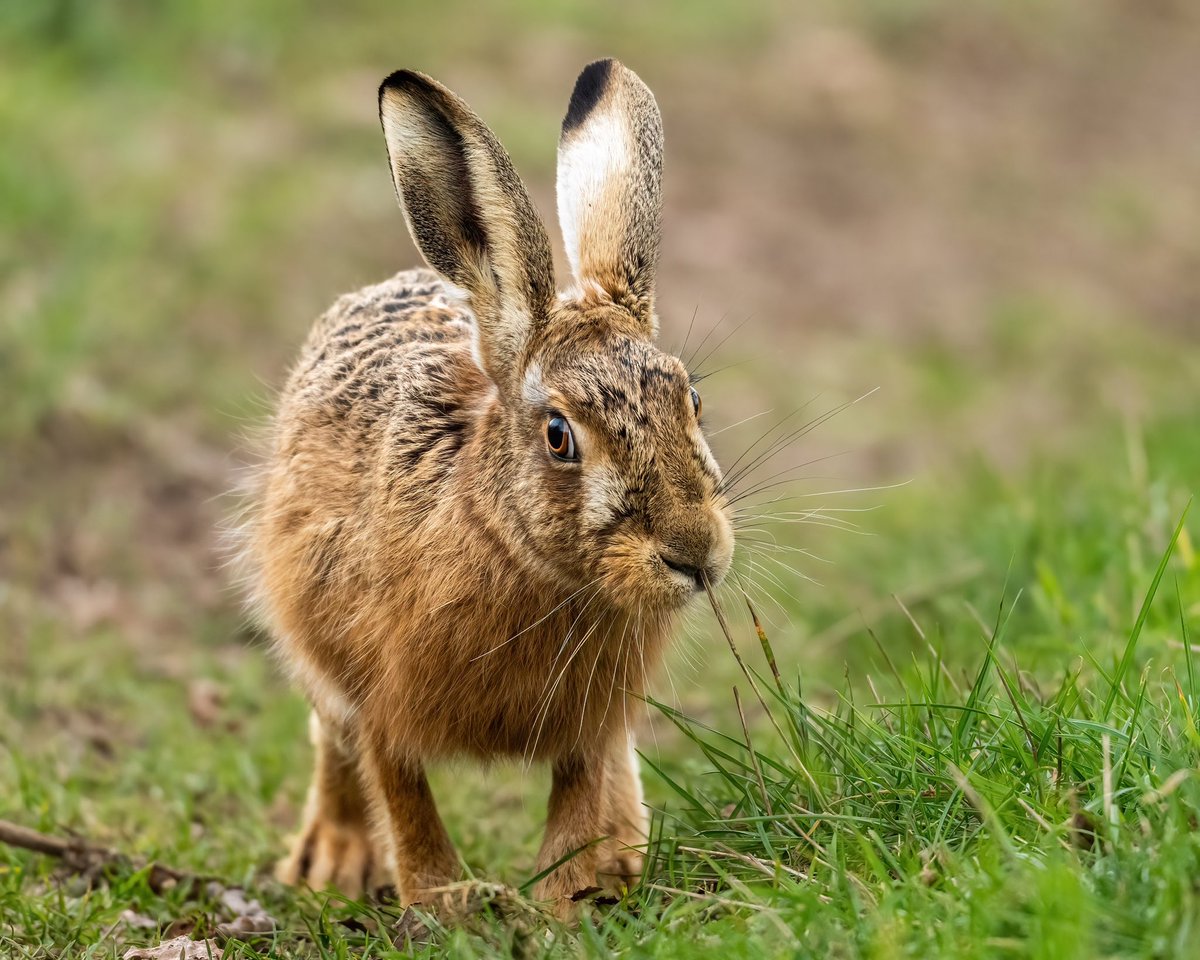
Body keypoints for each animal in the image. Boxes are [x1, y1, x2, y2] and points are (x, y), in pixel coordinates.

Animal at [241, 58, 734, 913]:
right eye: (559, 435)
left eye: (691, 401)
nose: (696, 553)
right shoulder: (379, 693)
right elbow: (402, 794)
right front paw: (445, 902)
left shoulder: (594, 714)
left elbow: (579, 792)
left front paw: (568, 899)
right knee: (332, 741)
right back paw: (330, 865)